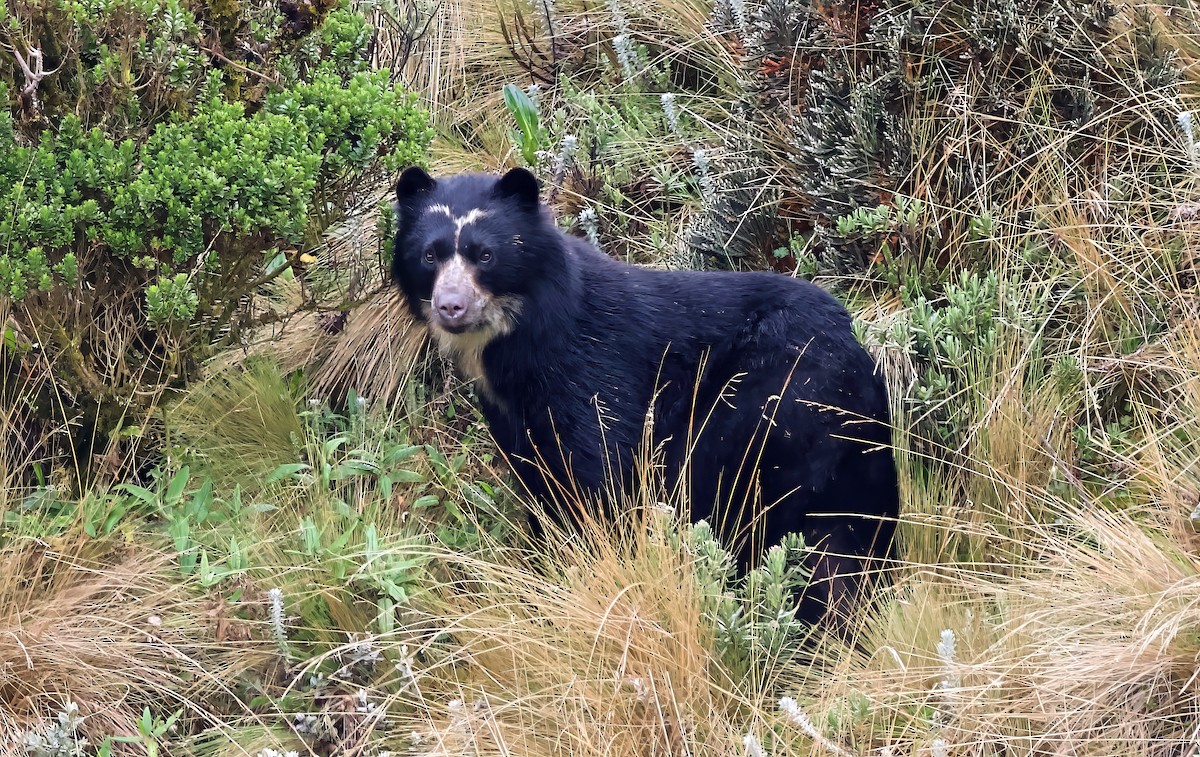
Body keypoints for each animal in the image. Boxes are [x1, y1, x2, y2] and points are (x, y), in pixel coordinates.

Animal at [390, 166, 898, 630]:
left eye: (486, 255)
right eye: (430, 255)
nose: (451, 306)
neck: (515, 343)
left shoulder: (592, 372)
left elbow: (599, 475)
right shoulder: (512, 414)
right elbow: (539, 479)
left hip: (777, 409)